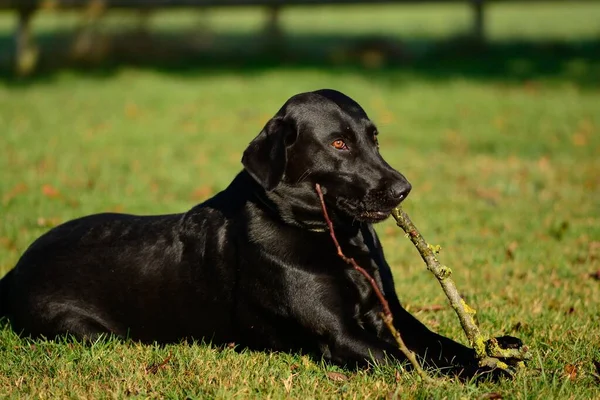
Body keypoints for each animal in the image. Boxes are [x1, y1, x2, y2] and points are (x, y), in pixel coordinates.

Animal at [0, 89, 510, 376]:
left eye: (374, 137)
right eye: (338, 143)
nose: (403, 189)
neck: (332, 238)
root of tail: (15, 267)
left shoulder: (392, 315)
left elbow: (443, 344)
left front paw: (496, 353)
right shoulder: (342, 337)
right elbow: (413, 361)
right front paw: (486, 377)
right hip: (84, 331)